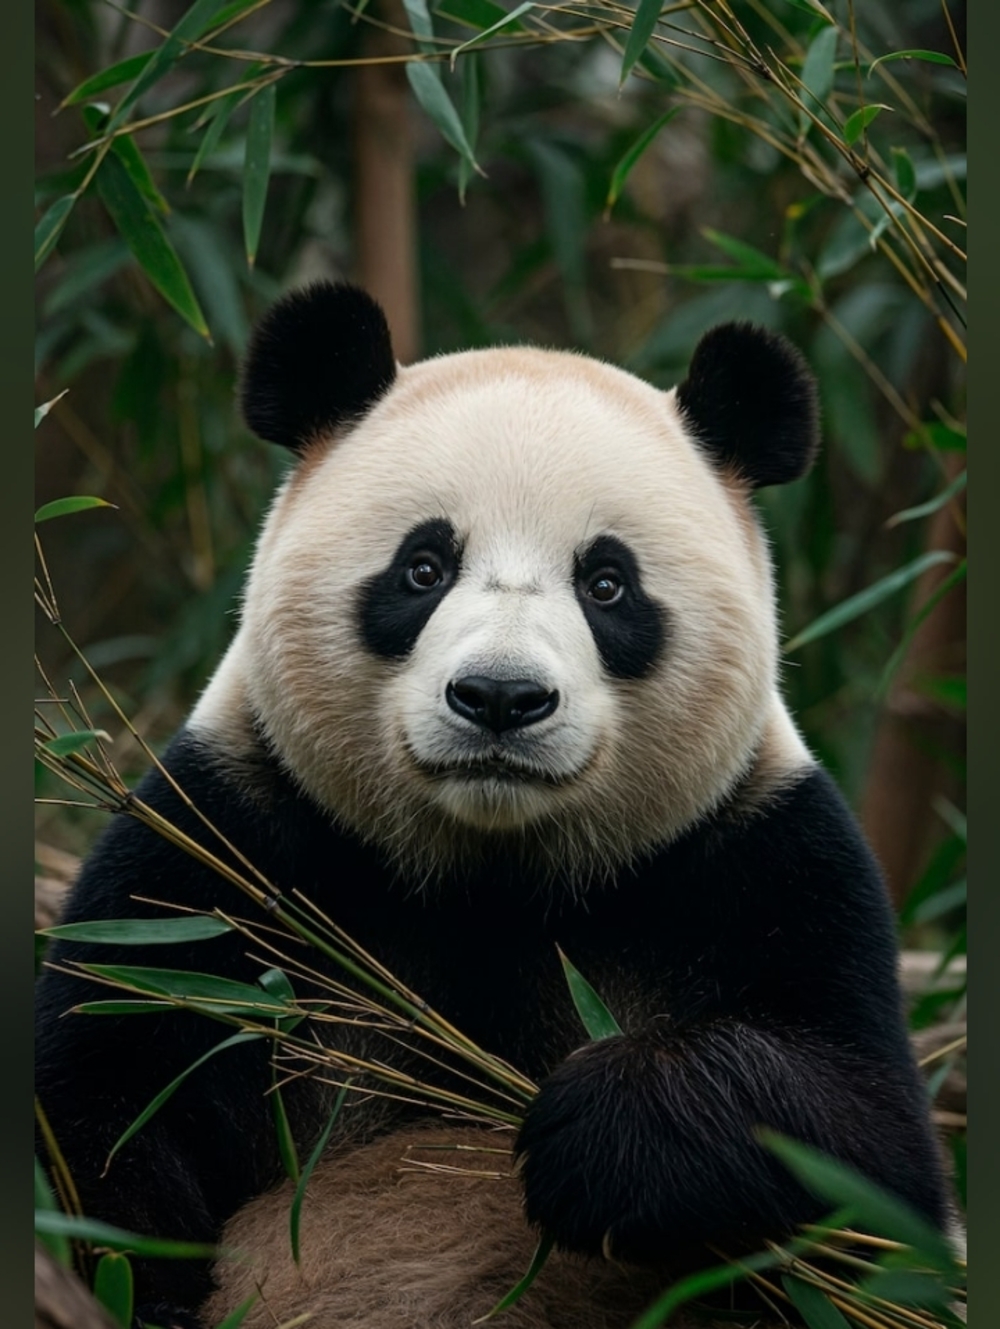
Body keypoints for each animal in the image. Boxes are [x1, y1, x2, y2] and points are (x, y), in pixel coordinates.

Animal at [35, 282, 950, 1329]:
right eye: (423, 567)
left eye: (607, 583)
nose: (502, 697)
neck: (493, 872)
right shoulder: (223, 850)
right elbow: (102, 1120)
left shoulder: (760, 860)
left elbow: (871, 1164)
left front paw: (607, 1129)